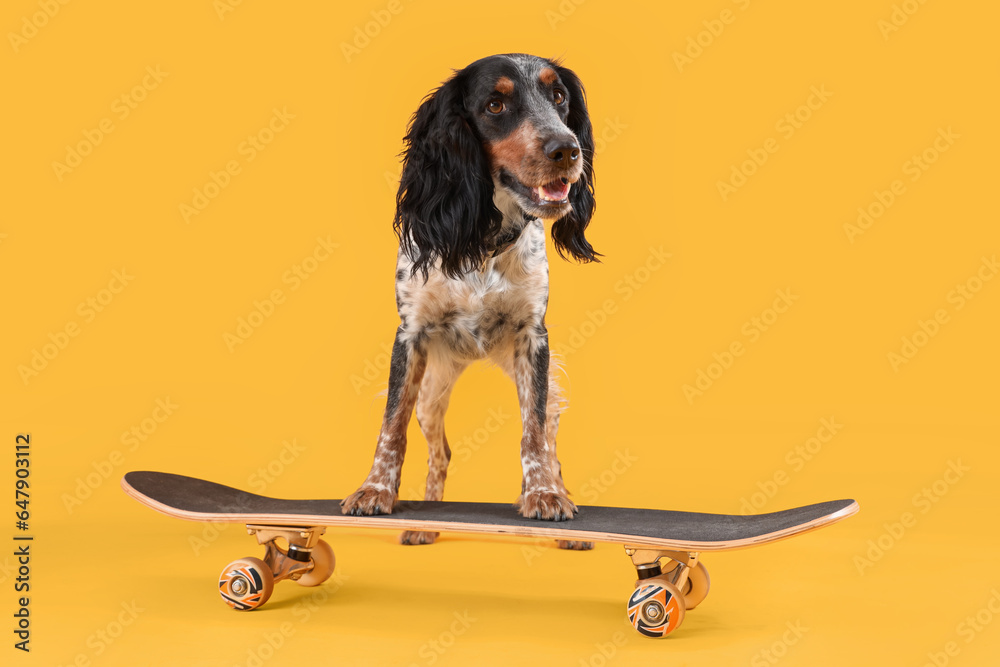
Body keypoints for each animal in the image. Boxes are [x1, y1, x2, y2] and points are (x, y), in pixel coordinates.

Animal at [340, 51, 596, 544]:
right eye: (495, 105)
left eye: (559, 96)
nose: (567, 149)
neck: (482, 240)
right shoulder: (411, 336)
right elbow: (391, 428)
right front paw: (374, 490)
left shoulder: (533, 341)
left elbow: (534, 437)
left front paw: (544, 496)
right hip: (429, 393)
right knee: (440, 451)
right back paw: (425, 525)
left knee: (551, 445)